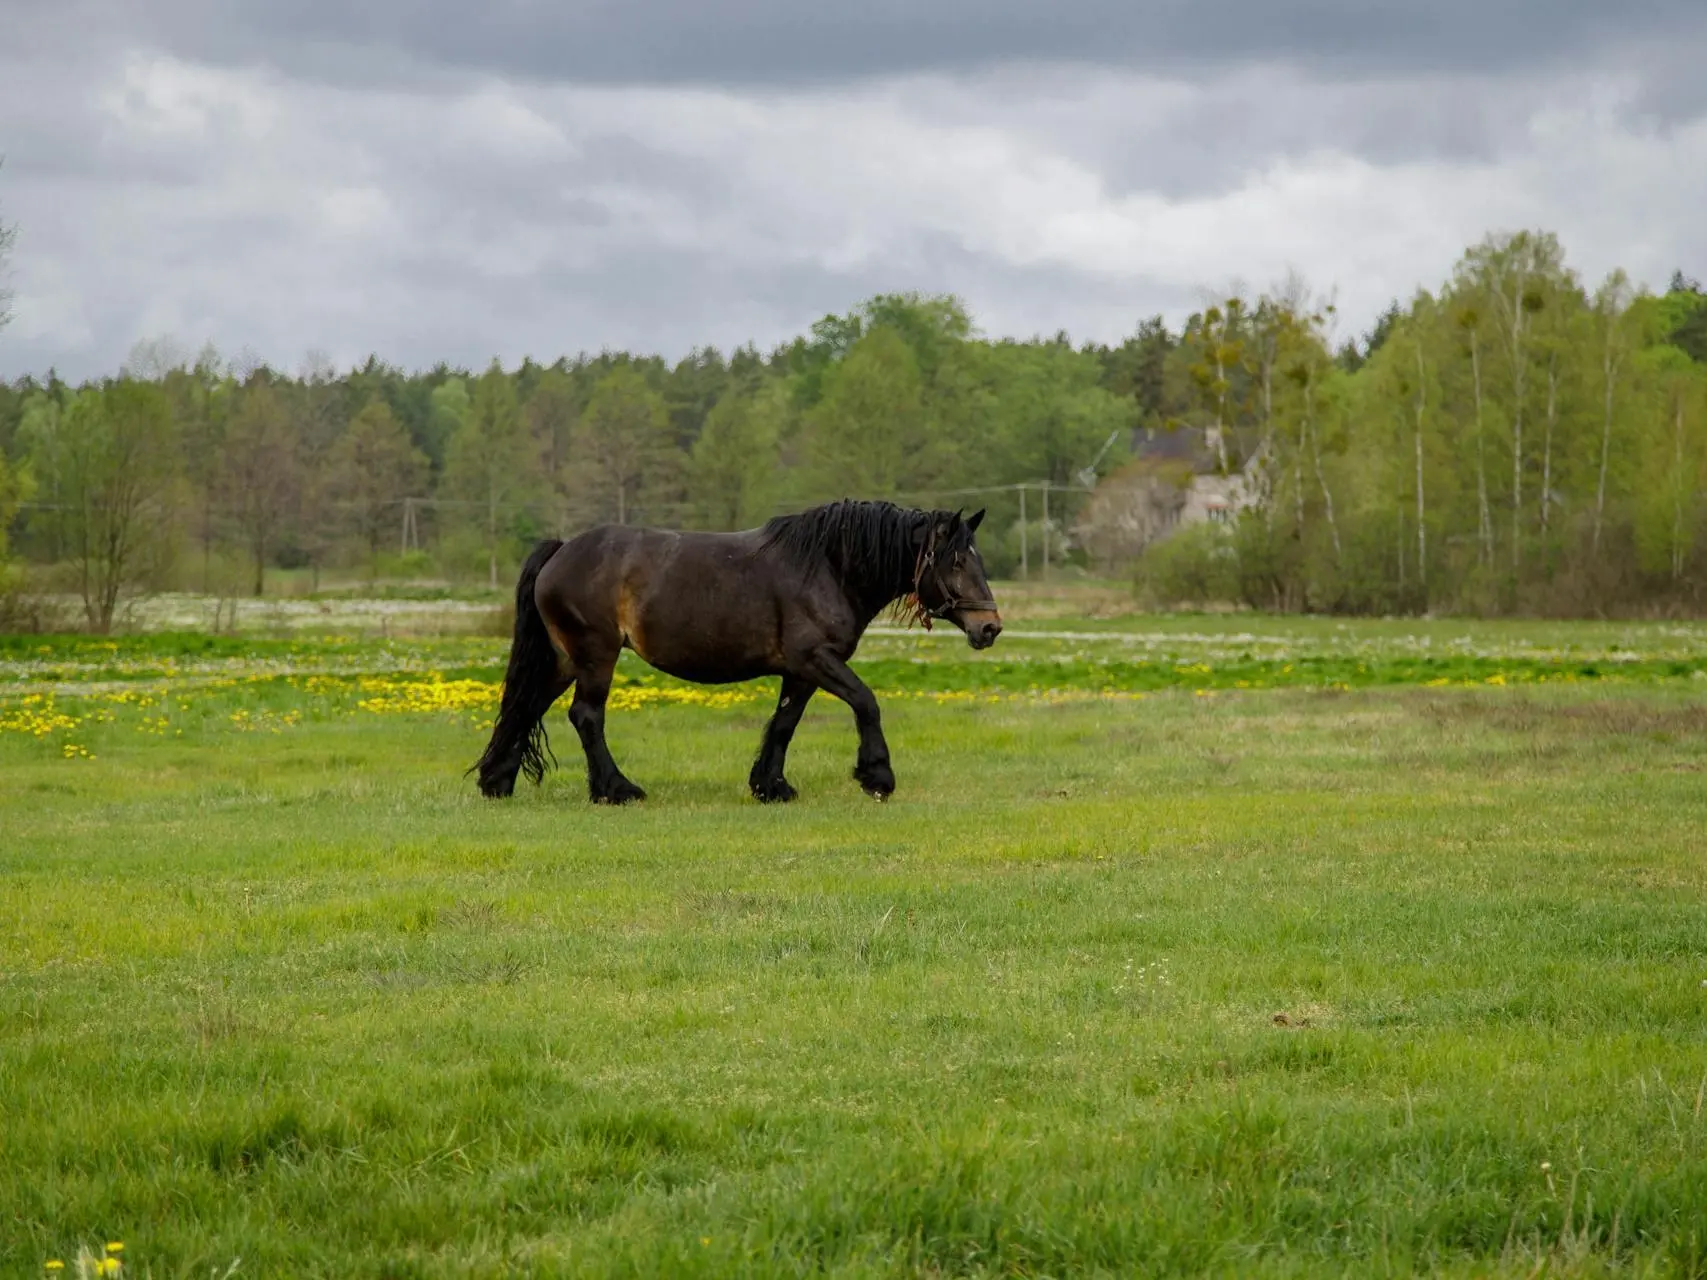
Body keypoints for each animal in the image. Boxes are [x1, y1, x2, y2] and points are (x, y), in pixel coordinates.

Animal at [471, 498, 996, 802]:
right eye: (954, 562)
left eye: (977, 559)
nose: (990, 627)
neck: (827, 567)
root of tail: (561, 551)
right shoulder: (816, 660)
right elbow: (866, 702)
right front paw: (876, 775)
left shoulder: (800, 672)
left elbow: (784, 724)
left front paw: (770, 785)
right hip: (596, 655)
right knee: (586, 716)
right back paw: (615, 789)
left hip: (565, 659)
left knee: (526, 705)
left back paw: (497, 781)